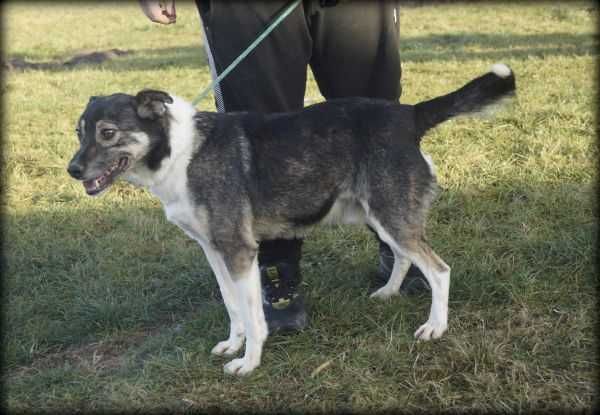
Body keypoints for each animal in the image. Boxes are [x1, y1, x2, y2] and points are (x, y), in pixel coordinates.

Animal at [65, 63, 516, 376]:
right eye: (79, 133)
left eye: (107, 133)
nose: (72, 170)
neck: (179, 153)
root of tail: (409, 114)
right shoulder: (214, 250)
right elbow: (232, 306)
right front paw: (232, 344)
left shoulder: (239, 251)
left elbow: (252, 315)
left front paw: (248, 363)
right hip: (379, 214)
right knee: (405, 255)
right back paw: (389, 291)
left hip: (390, 213)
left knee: (438, 269)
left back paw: (435, 326)